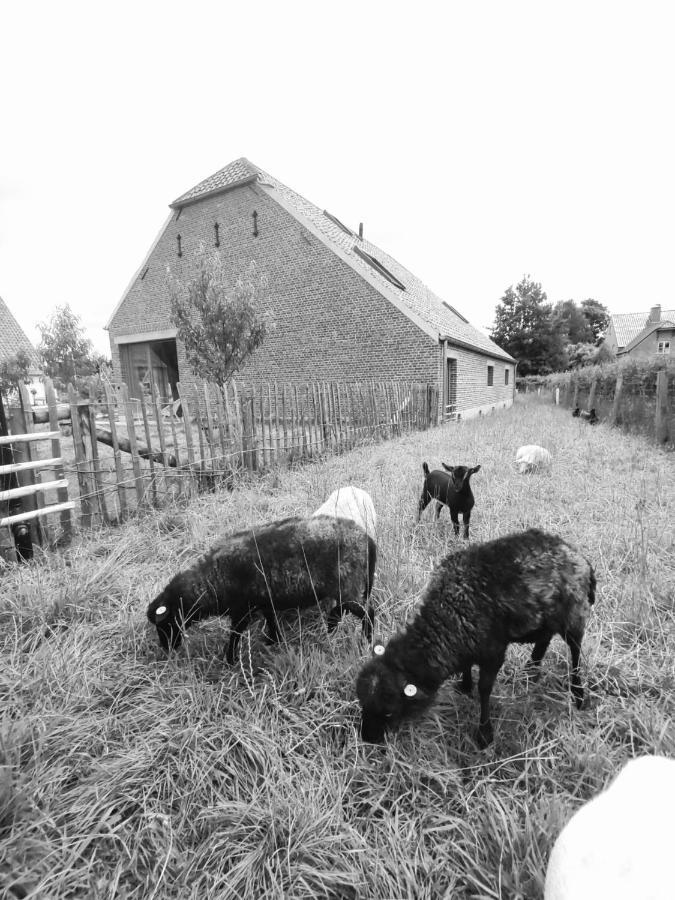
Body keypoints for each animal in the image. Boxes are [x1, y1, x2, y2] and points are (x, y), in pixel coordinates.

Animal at [149, 512, 378, 660]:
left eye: (166, 622)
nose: (167, 649)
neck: (211, 581)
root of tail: (366, 538)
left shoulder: (243, 610)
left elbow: (235, 634)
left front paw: (229, 659)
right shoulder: (264, 601)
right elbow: (271, 620)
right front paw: (273, 641)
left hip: (347, 584)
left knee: (368, 612)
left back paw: (366, 641)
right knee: (343, 609)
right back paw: (331, 627)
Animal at [356, 532, 596, 748]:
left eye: (389, 712)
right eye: (361, 702)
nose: (367, 739)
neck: (449, 610)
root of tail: (578, 555)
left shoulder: (493, 652)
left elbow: (485, 688)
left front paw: (484, 734)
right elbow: (467, 667)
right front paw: (464, 686)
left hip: (573, 613)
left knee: (575, 650)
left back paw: (578, 694)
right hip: (548, 616)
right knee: (545, 639)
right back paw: (531, 670)